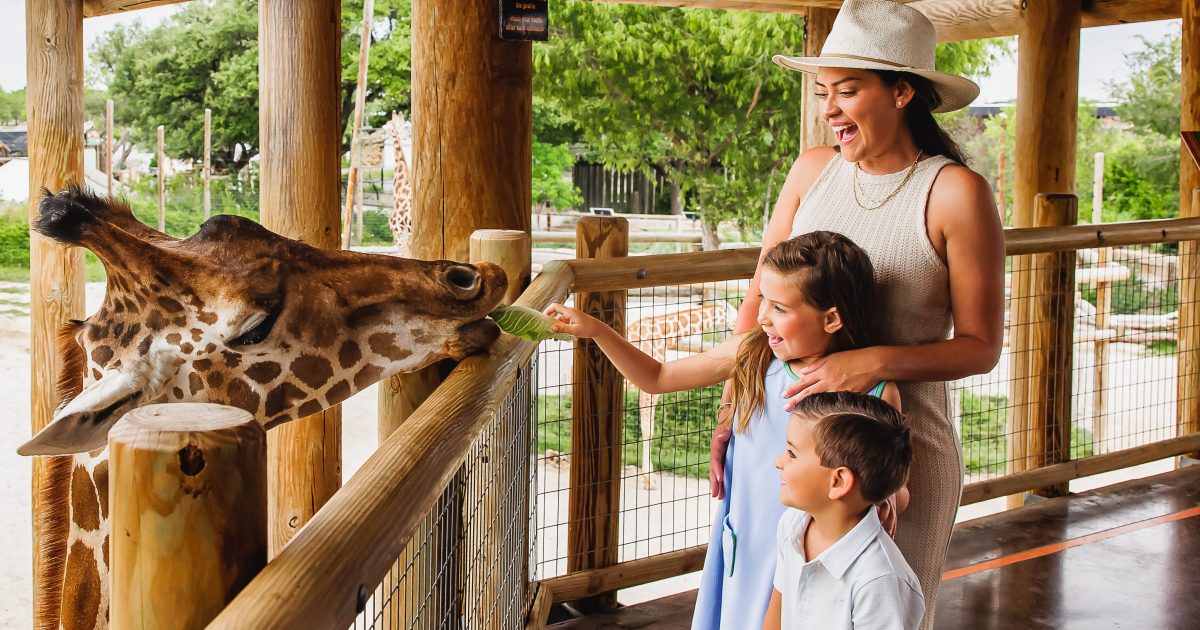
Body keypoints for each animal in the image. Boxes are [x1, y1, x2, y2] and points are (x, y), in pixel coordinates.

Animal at [628, 302, 739, 489]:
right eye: (732, 315)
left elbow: (646, 429)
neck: (664, 333)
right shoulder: (647, 392)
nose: (736, 328)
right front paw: (649, 479)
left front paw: (648, 477)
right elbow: (648, 430)